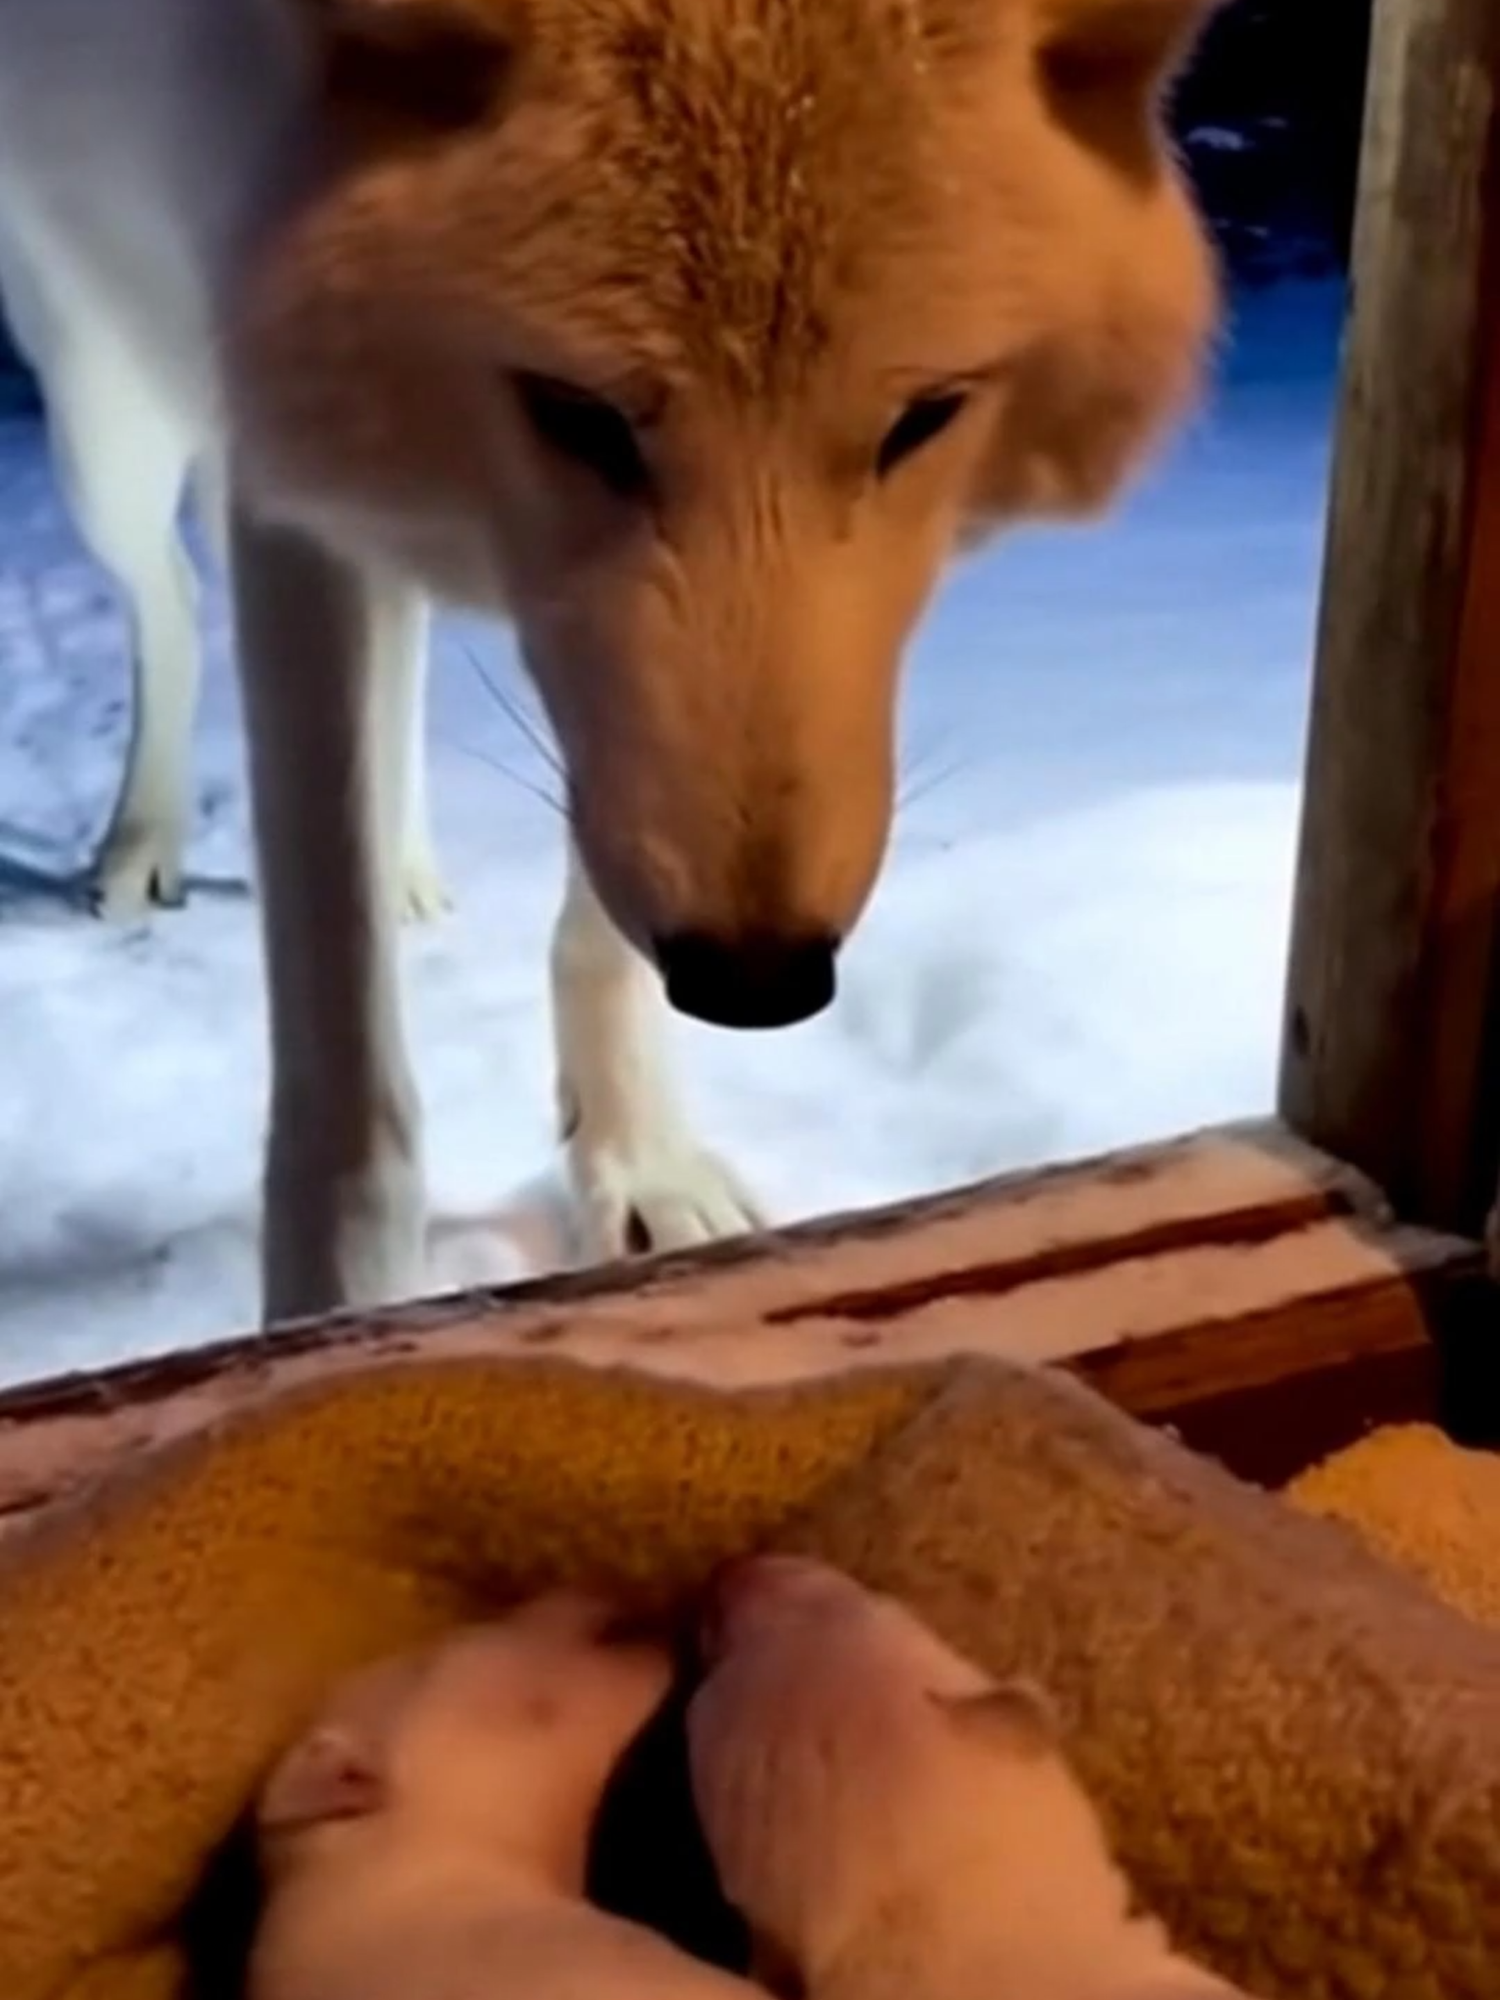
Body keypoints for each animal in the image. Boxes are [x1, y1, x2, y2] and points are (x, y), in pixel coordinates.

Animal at [0, 0, 1219, 1325]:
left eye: (924, 419)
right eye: (577, 415)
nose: (759, 980)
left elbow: (603, 910)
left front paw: (641, 1166)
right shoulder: (292, 463)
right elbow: (347, 1084)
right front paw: (336, 1327)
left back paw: (410, 868)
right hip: (111, 417)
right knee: (169, 597)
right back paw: (142, 841)